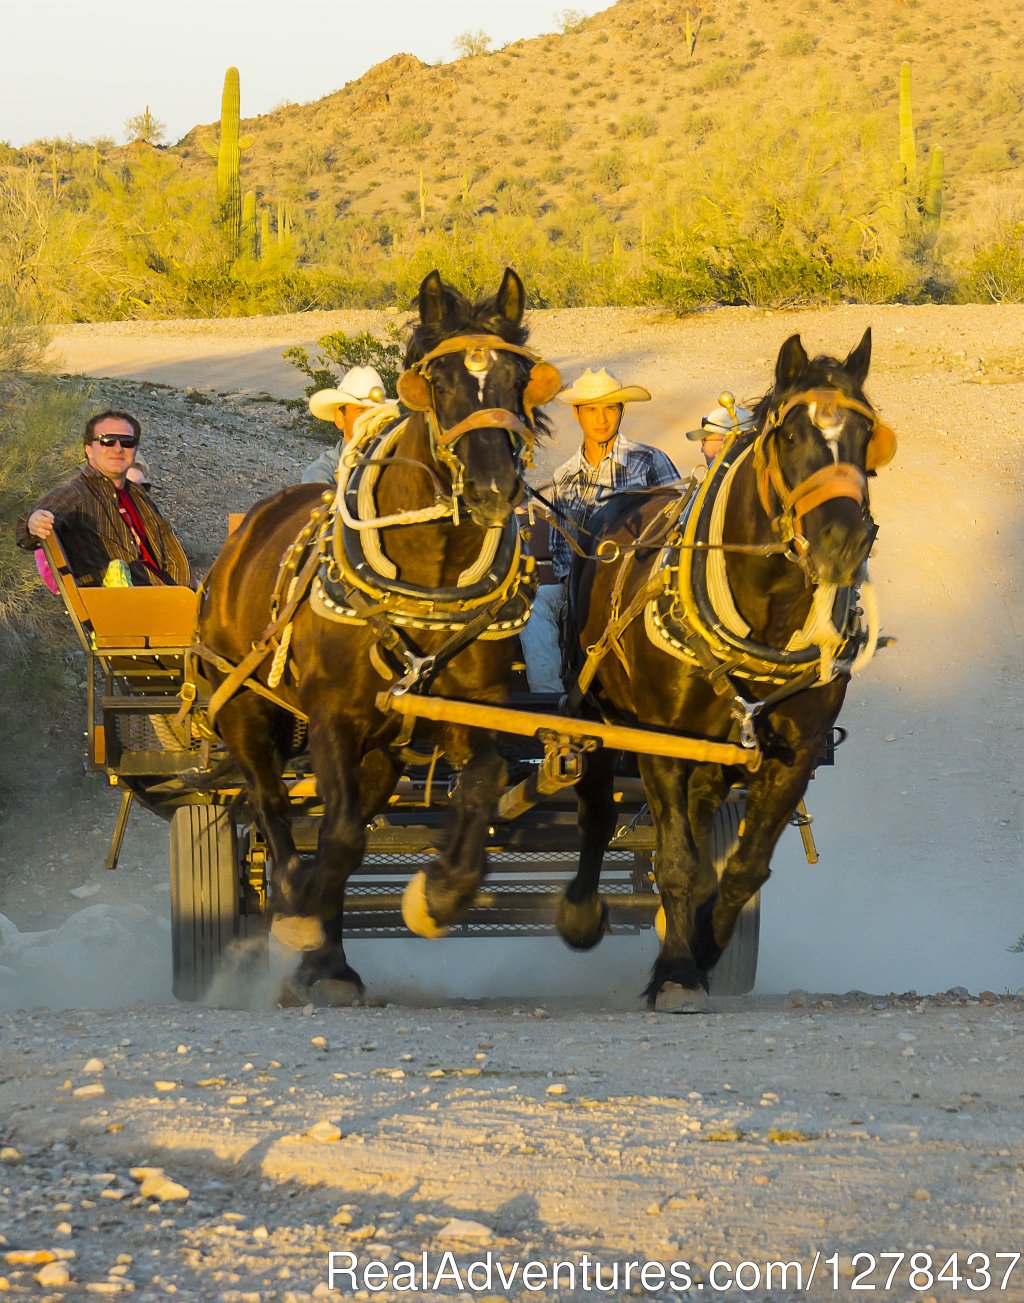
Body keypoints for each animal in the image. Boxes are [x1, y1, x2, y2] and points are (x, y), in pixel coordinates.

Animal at [198, 264, 557, 995]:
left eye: (518, 378)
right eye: (436, 380)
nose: (492, 489)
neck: (430, 573)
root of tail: (240, 537)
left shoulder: (472, 707)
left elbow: (480, 784)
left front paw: (440, 893)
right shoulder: (333, 714)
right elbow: (334, 835)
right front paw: (303, 921)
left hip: (384, 749)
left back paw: (330, 959)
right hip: (244, 705)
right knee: (272, 805)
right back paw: (297, 909)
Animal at [557, 330, 896, 1011]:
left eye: (868, 435)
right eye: (788, 435)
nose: (844, 540)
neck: (764, 613)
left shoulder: (796, 750)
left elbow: (741, 867)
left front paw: (705, 949)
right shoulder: (660, 740)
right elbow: (676, 859)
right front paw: (677, 972)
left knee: (703, 814)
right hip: (597, 709)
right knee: (597, 810)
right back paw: (581, 913)